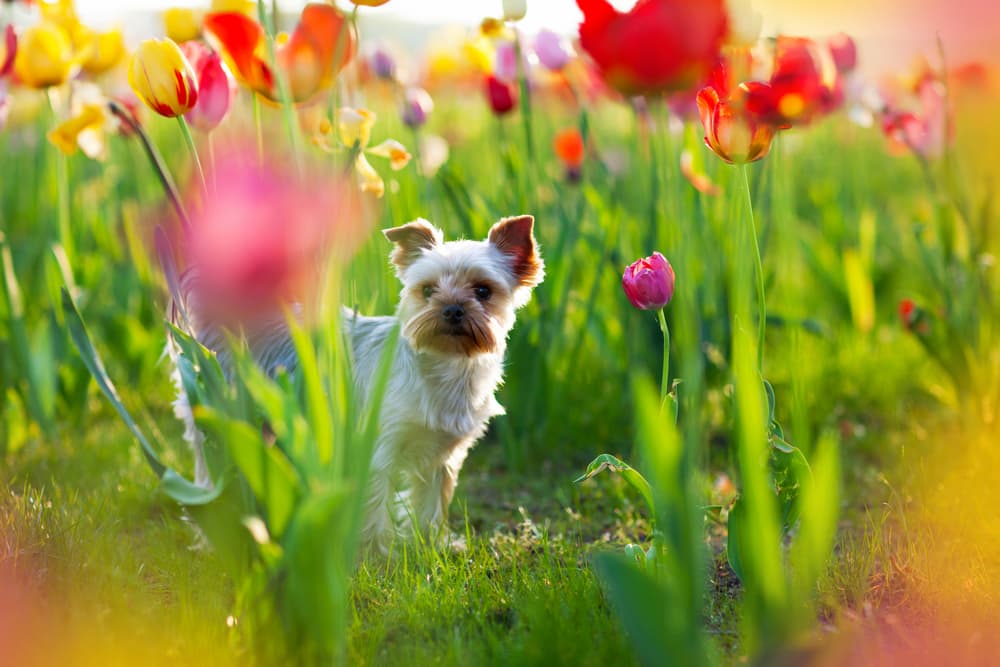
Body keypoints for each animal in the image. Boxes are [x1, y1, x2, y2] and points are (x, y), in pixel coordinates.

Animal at [174, 215, 548, 552]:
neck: (447, 365)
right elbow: (373, 508)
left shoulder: (441, 457)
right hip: (216, 406)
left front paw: (434, 547)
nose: (452, 309)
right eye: (428, 290)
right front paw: (377, 559)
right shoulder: (378, 446)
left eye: (483, 291)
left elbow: (431, 505)